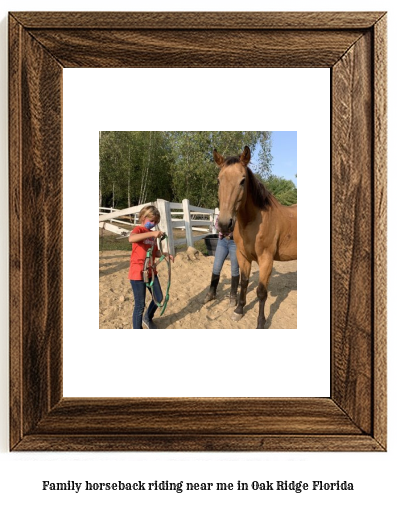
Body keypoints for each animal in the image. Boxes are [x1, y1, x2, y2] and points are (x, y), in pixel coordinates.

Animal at [213, 147, 294, 330]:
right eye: (219, 181)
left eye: (243, 180)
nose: (224, 224)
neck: (254, 222)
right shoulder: (243, 256)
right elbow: (243, 282)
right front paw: (238, 310)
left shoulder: (266, 260)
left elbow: (261, 292)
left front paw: (261, 323)